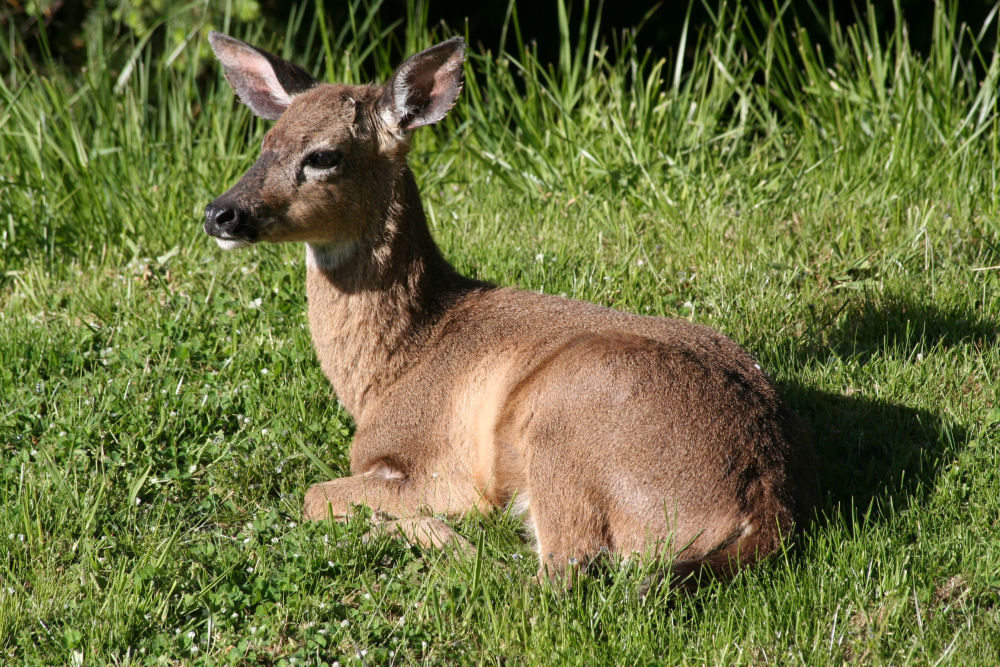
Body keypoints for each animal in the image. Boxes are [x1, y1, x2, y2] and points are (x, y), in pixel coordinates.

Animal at [203, 31, 820, 588]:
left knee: (551, 576)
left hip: (564, 425)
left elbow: (314, 495)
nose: (220, 213)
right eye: (265, 143)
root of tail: (767, 501)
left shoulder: (438, 465)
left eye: (324, 156)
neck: (393, 365)